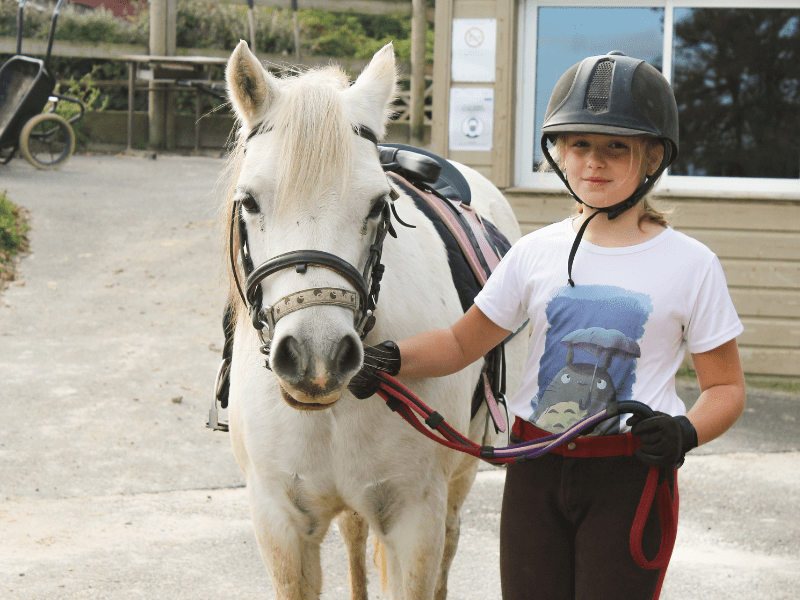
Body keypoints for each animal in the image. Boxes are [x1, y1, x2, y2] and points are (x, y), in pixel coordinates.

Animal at [222, 42, 528, 600]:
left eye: (378, 204)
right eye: (249, 200)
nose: (315, 356)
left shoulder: (415, 522)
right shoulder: (280, 525)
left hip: (460, 476)